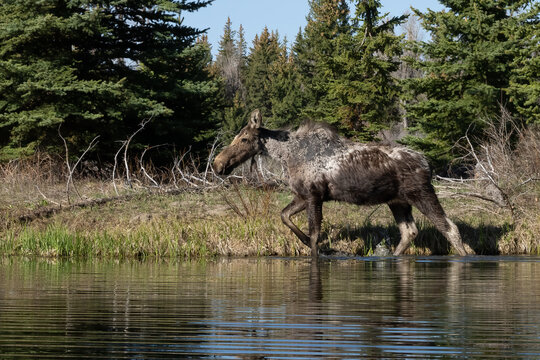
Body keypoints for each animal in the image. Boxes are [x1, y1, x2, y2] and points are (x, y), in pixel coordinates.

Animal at [213, 108, 474, 258]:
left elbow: (315, 234)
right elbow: (284, 216)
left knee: (450, 228)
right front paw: (311, 243)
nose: (218, 164)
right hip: (398, 201)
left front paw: (319, 249)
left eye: (244, 138)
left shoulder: (314, 195)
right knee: (409, 231)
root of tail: (427, 162)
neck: (287, 156)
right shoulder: (302, 195)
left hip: (421, 193)